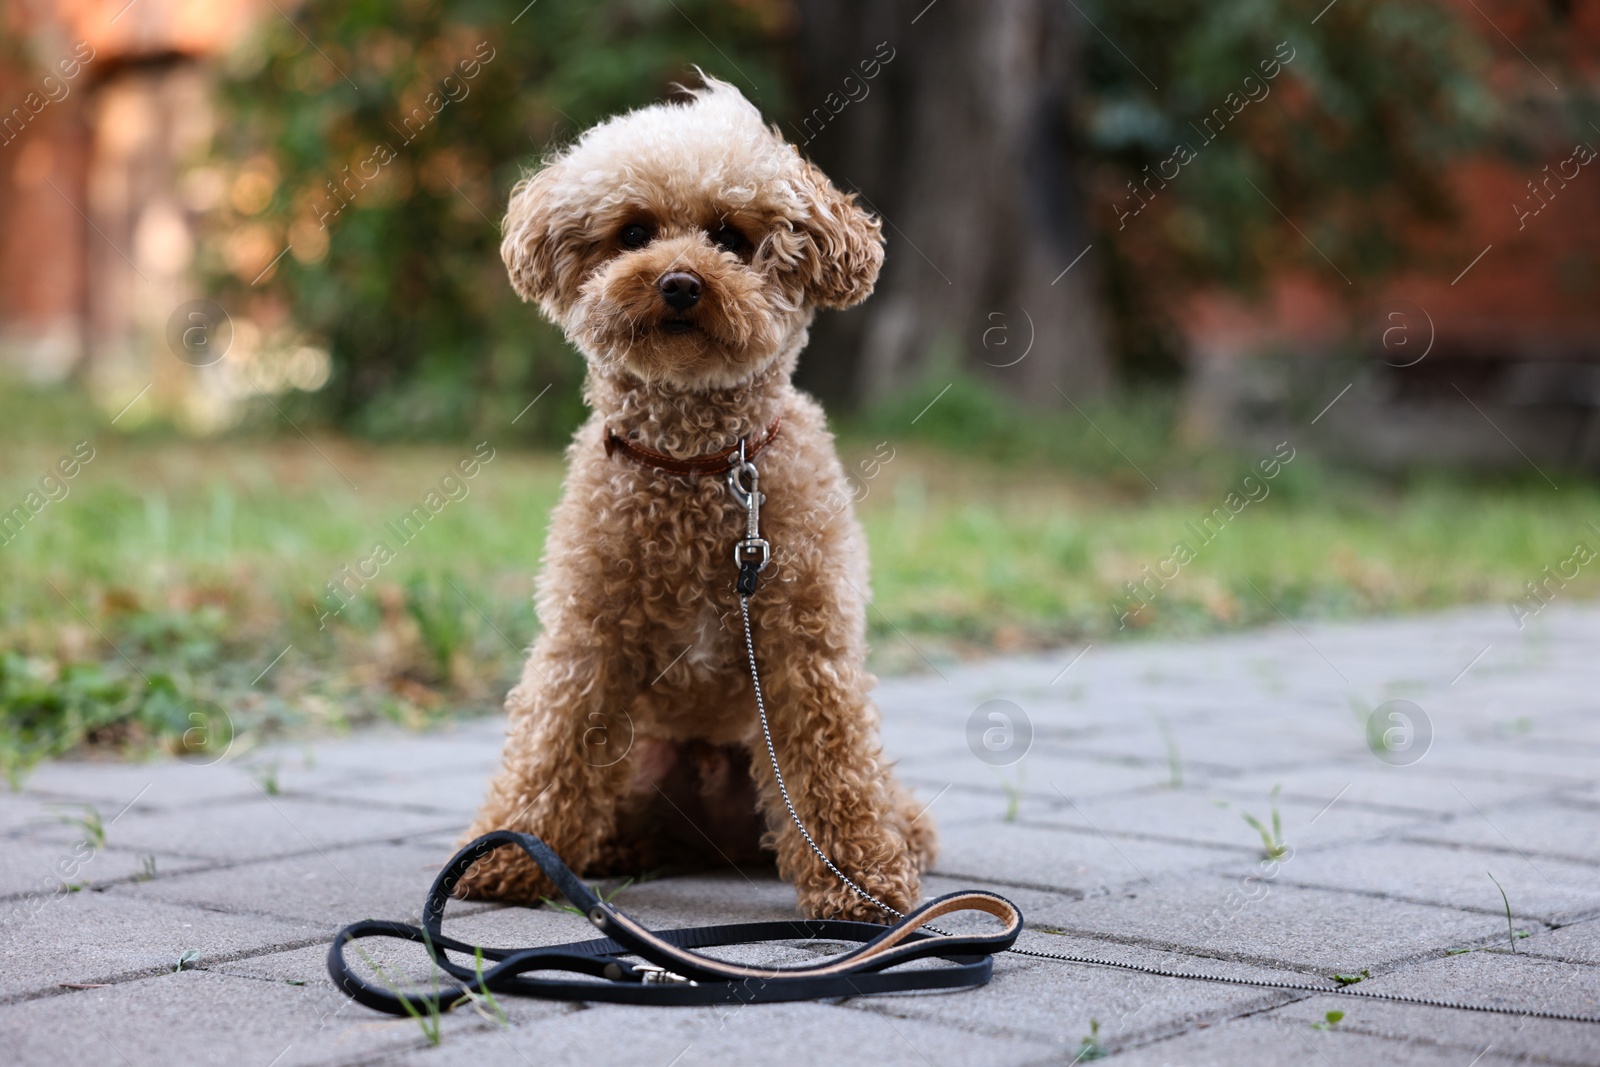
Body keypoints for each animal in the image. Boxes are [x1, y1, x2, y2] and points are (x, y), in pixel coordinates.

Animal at [460, 79, 934, 921]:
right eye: (633, 231)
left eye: (730, 236)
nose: (679, 281)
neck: (697, 464)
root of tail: (711, 839)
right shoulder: (588, 638)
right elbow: (552, 741)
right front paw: (514, 851)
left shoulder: (805, 644)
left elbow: (833, 759)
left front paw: (859, 878)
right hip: (638, 763)